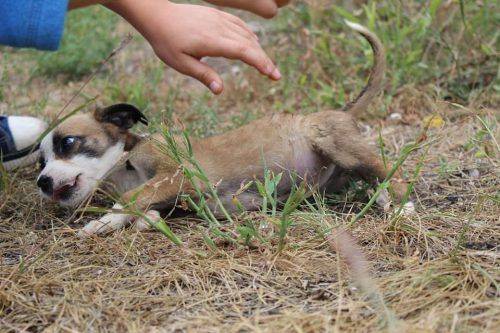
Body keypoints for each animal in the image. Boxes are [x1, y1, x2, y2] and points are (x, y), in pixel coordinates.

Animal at [37, 22, 414, 236]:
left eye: (67, 142)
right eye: (39, 162)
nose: (41, 182)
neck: (125, 163)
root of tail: (341, 110)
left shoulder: (179, 173)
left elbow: (131, 199)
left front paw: (100, 222)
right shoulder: (172, 194)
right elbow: (144, 208)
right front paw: (138, 220)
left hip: (333, 141)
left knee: (391, 172)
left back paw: (400, 205)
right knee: (373, 176)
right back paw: (382, 198)